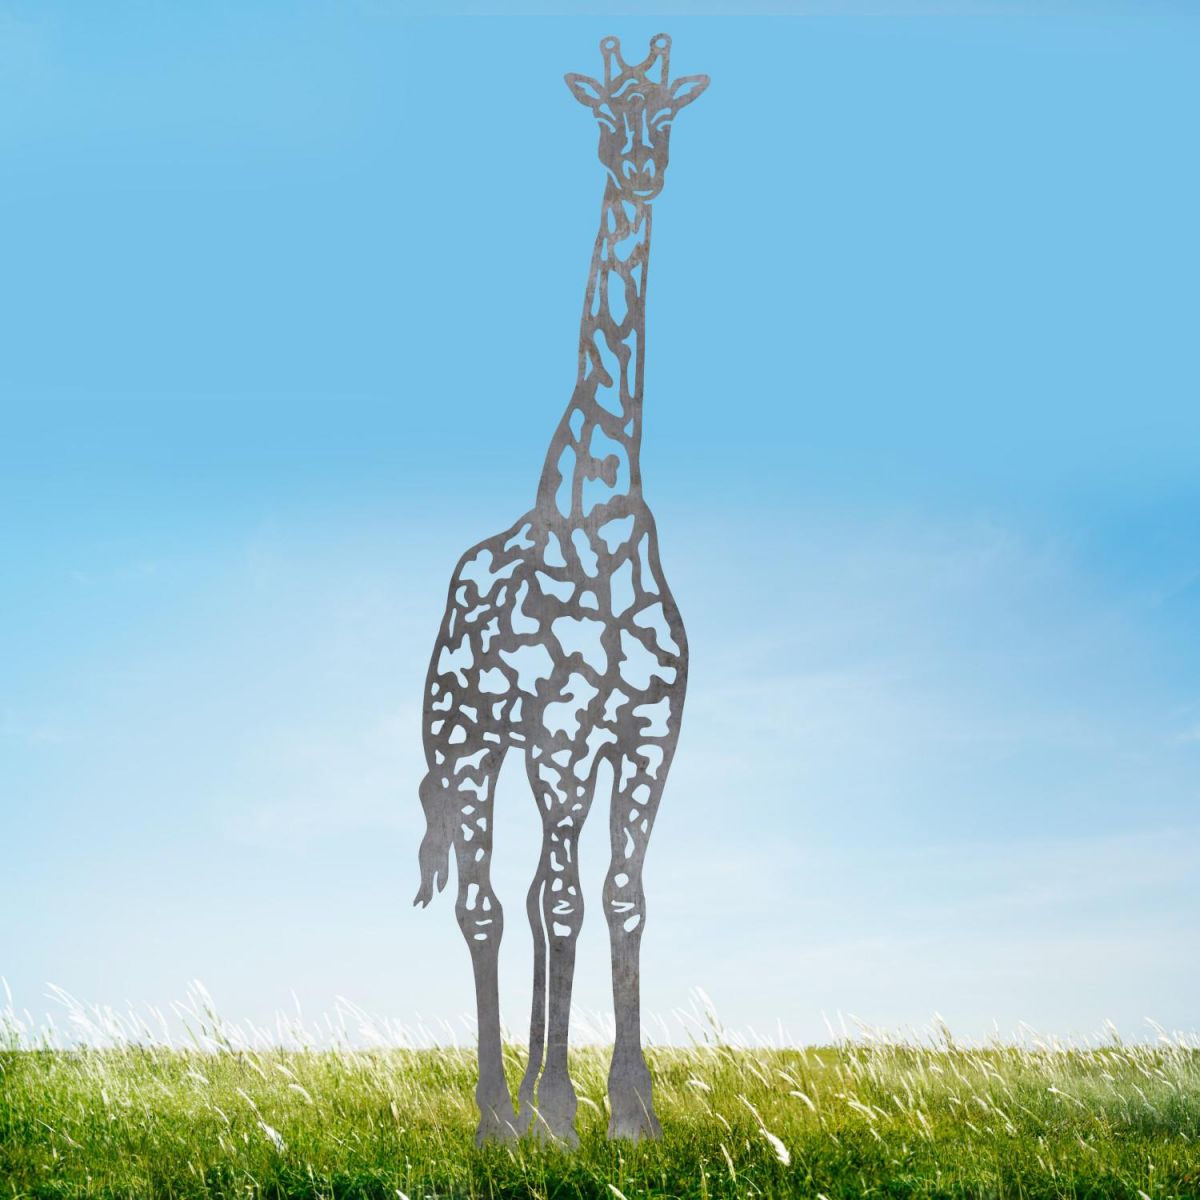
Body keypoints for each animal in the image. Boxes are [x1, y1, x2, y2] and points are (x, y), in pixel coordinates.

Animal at [414, 32, 708, 1147]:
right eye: (601, 113)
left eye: (668, 113)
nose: (639, 168)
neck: (601, 521)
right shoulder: (565, 734)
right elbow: (565, 904)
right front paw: (560, 1105)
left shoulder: (644, 734)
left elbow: (620, 899)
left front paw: (628, 1108)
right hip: (466, 744)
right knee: (490, 904)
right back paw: (503, 1113)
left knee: (540, 893)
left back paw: (539, 1101)